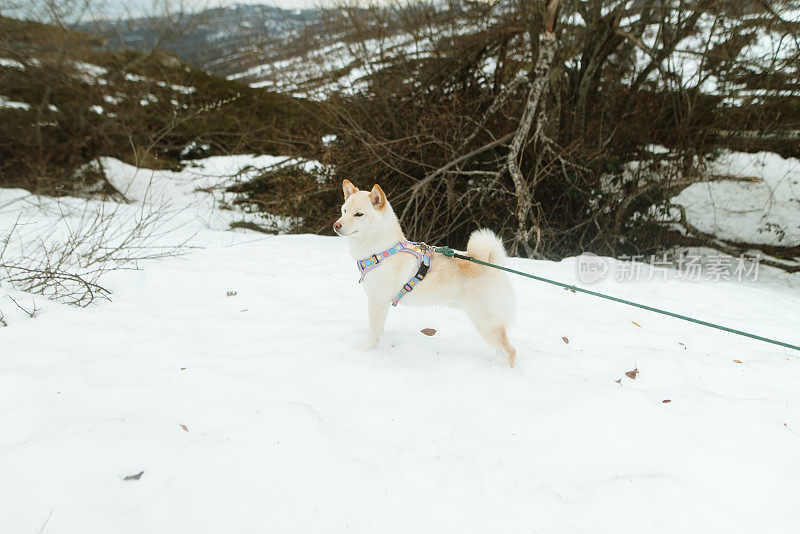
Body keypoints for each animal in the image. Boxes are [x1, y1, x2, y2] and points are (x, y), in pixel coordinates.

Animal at [332, 180, 516, 368]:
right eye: (344, 210)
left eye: (359, 214)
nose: (336, 225)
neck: (381, 250)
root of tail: (494, 264)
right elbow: (379, 330)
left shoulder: (377, 301)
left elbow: (373, 333)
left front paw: (364, 353)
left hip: (486, 322)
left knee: (510, 351)